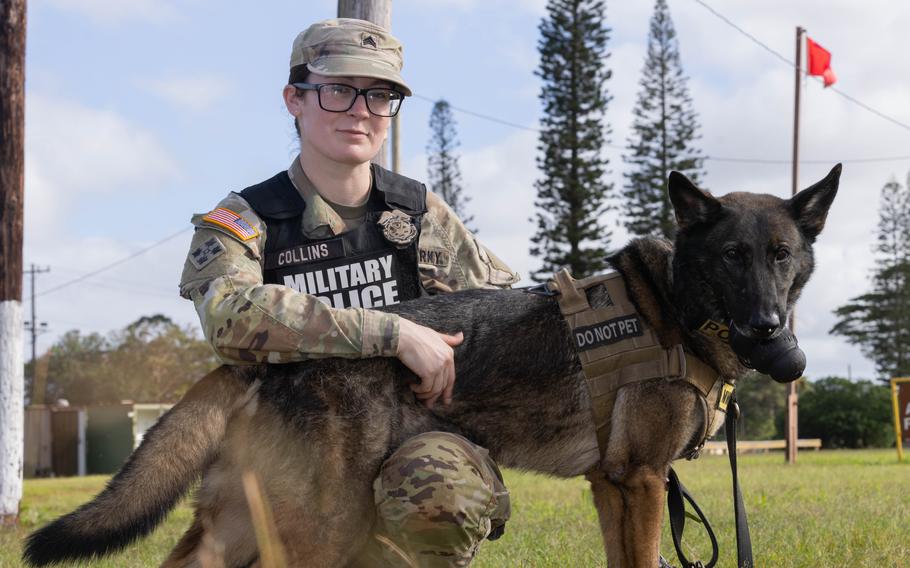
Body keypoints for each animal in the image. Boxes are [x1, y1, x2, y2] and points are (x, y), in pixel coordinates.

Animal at [26, 163, 840, 564]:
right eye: (731, 257)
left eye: (781, 256)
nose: (771, 330)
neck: (672, 305)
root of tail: (265, 362)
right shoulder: (639, 483)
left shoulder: (613, 488)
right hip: (315, 526)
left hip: (245, 522)